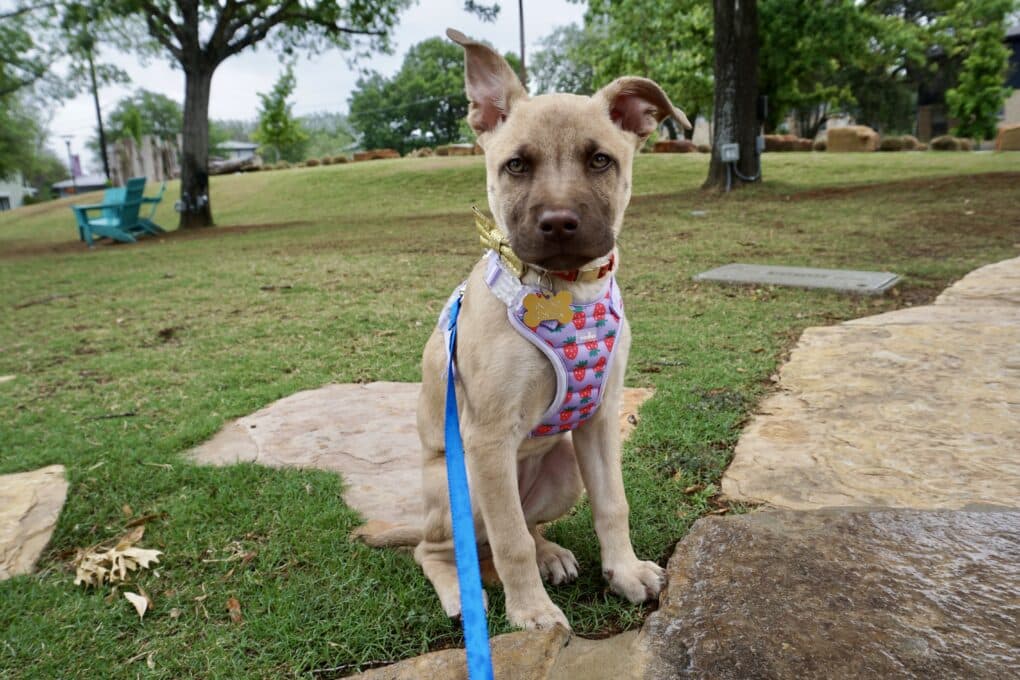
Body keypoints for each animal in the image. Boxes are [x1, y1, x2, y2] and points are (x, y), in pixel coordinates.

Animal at [394, 28, 690, 631]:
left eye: (600, 160)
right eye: (516, 165)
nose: (558, 224)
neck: (567, 289)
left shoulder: (600, 417)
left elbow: (613, 504)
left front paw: (625, 572)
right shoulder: (487, 439)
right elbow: (509, 543)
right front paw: (531, 612)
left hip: (561, 472)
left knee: (527, 525)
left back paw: (550, 554)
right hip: (460, 484)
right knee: (450, 547)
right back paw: (461, 592)